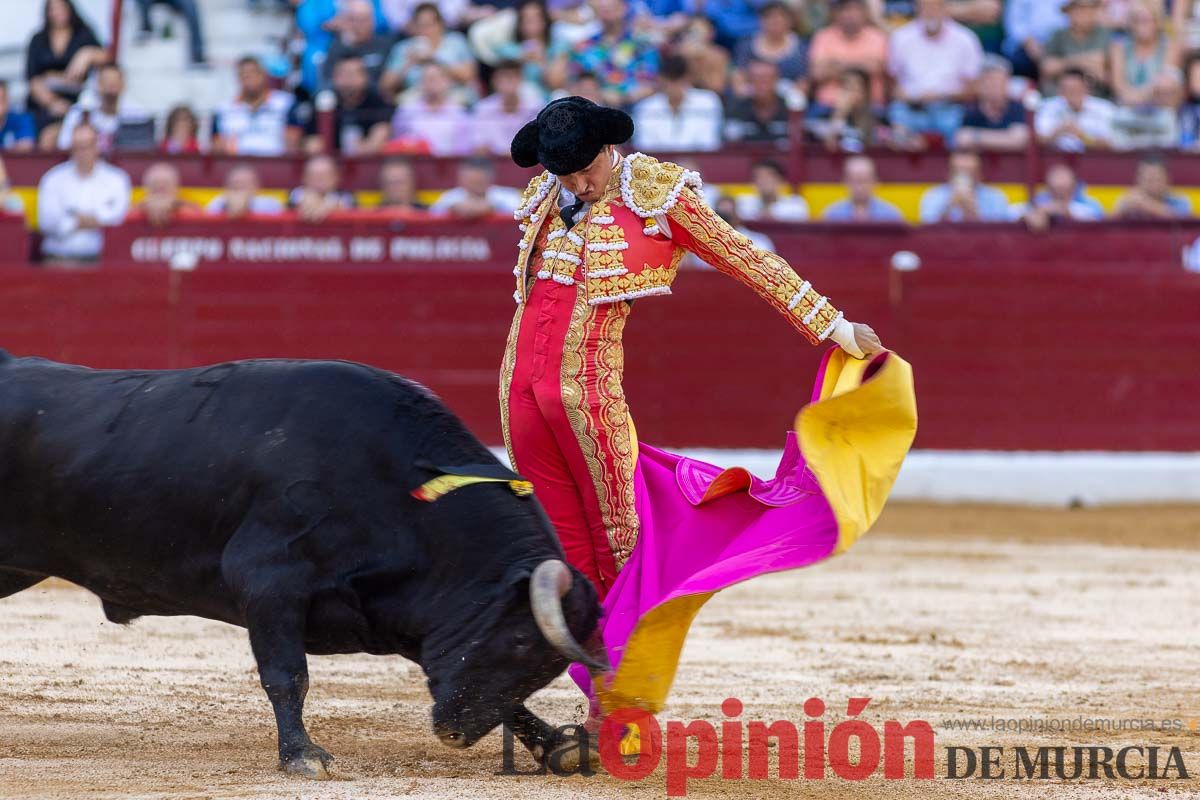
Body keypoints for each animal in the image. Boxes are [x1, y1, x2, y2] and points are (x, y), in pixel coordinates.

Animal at [0, 350, 604, 777]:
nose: (452, 733)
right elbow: (287, 674)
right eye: (521, 640)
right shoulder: (270, 581)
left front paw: (558, 744)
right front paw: (303, 756)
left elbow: (493, 695)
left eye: (551, 666)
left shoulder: (407, 617)